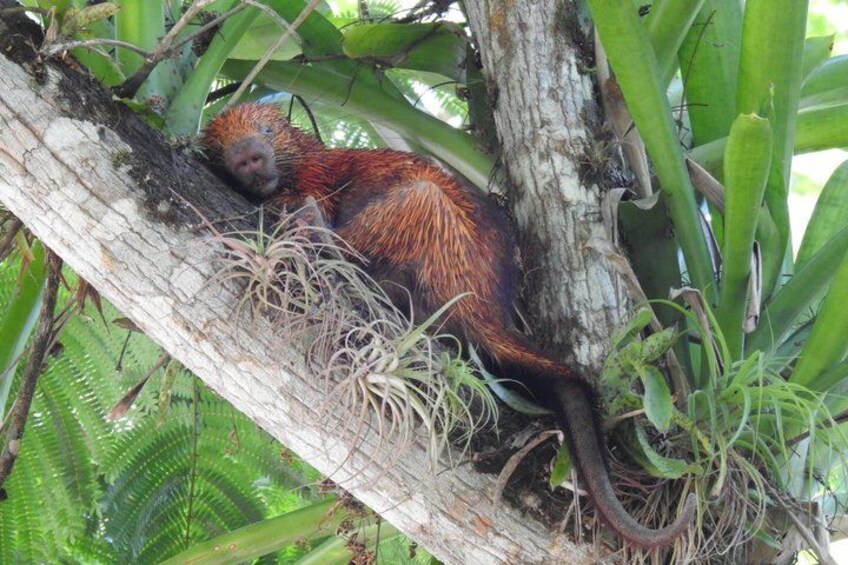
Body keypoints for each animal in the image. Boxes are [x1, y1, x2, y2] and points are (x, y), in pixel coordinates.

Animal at [200, 102, 696, 548]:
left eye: (266, 130)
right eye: (225, 147)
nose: (249, 156)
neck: (299, 162)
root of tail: (486, 306)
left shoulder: (316, 177)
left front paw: (296, 211)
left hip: (446, 245)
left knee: (418, 200)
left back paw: (323, 233)